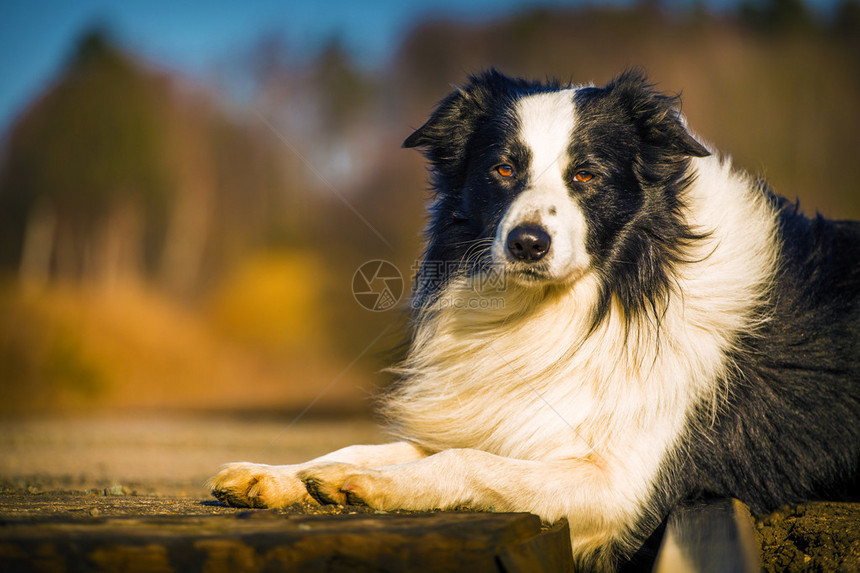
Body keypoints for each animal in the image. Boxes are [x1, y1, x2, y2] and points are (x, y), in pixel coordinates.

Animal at [210, 70, 860, 568]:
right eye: (502, 169)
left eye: (586, 174)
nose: (527, 243)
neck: (580, 305)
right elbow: (368, 447)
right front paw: (283, 474)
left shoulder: (619, 486)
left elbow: (465, 461)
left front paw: (376, 487)